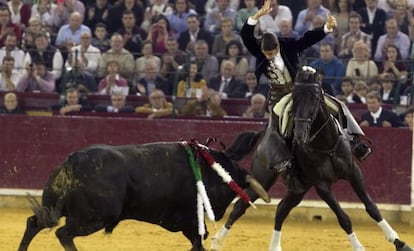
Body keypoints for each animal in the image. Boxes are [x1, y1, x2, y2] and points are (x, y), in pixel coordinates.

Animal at [17, 141, 268, 251]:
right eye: (225, 190)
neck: (208, 169)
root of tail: (73, 162)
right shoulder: (190, 221)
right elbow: (198, 242)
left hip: (54, 207)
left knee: (33, 223)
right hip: (95, 218)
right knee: (63, 234)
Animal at [212, 66, 412, 251]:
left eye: (315, 98)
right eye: (295, 99)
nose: (300, 135)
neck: (327, 145)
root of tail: (262, 135)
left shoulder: (354, 173)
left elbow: (372, 207)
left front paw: (399, 242)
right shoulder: (322, 185)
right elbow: (343, 218)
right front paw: (358, 247)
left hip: (299, 188)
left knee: (281, 209)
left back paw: (274, 246)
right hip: (263, 179)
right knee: (241, 206)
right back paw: (217, 241)